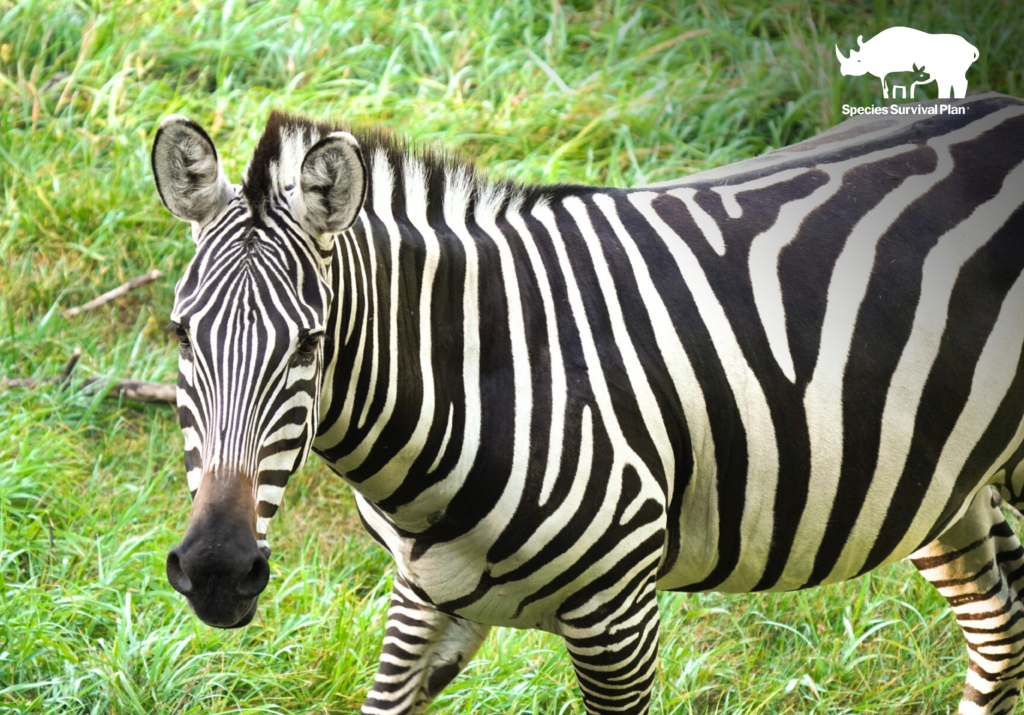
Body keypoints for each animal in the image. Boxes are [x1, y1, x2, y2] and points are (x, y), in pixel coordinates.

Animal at [152, 91, 1024, 714]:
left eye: (309, 344)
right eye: (181, 334)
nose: (218, 570)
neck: (482, 379)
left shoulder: (619, 619)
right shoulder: (425, 593)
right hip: (941, 486)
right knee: (1000, 625)